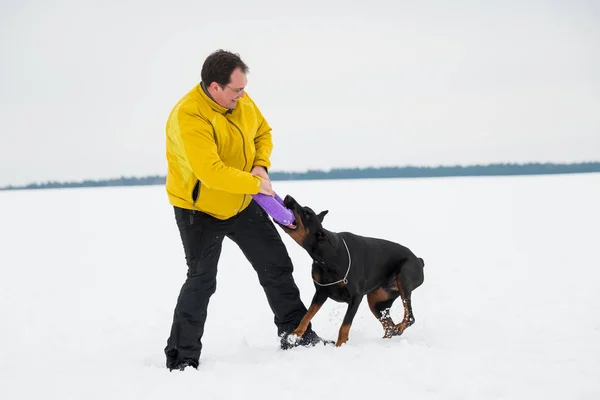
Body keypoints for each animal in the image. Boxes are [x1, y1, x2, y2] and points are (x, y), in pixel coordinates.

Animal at [278, 195, 424, 346]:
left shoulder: (356, 296)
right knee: (388, 326)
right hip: (376, 300)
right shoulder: (321, 292)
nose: (288, 197)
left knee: (409, 316)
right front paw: (295, 334)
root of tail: (419, 260)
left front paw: (339, 346)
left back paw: (399, 327)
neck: (327, 256)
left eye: (307, 213)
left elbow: (345, 325)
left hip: (404, 275)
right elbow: (307, 315)